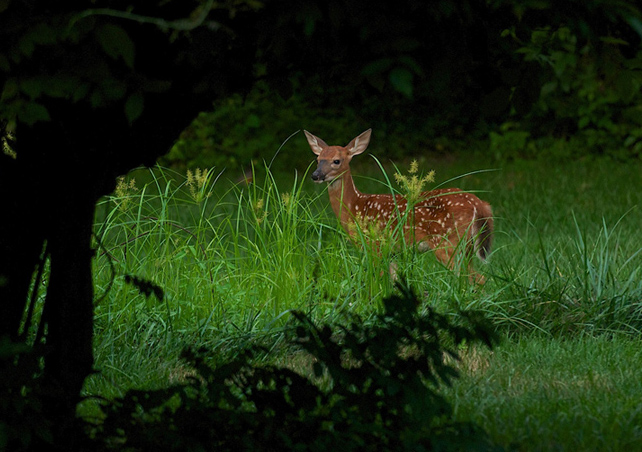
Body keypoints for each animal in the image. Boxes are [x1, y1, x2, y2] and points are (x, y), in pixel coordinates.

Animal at [305, 128, 493, 284]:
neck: (355, 206)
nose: (315, 175)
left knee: (477, 279)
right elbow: (394, 281)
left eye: (336, 161)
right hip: (466, 246)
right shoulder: (392, 252)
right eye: (318, 159)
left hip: (448, 242)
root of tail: (479, 203)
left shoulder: (374, 244)